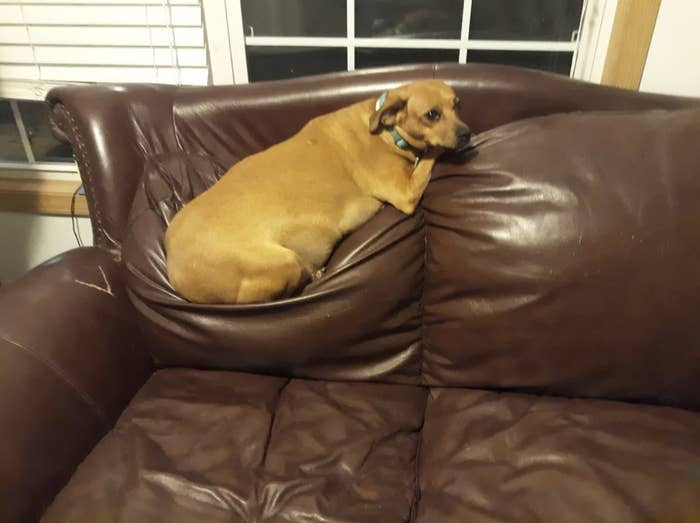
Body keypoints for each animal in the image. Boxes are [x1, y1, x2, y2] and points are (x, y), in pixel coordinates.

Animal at [165, 80, 470, 304]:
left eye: (457, 105)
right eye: (432, 114)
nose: (467, 133)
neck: (386, 130)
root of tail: (173, 266)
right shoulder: (404, 191)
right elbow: (432, 151)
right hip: (279, 264)